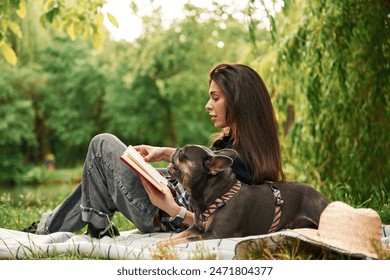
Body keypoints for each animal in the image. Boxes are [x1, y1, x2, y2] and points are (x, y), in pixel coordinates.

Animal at [160, 144, 330, 245]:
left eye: (183, 152)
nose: (176, 149)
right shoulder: (196, 228)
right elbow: (180, 236)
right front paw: (161, 242)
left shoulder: (214, 234)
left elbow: (186, 239)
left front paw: (163, 244)